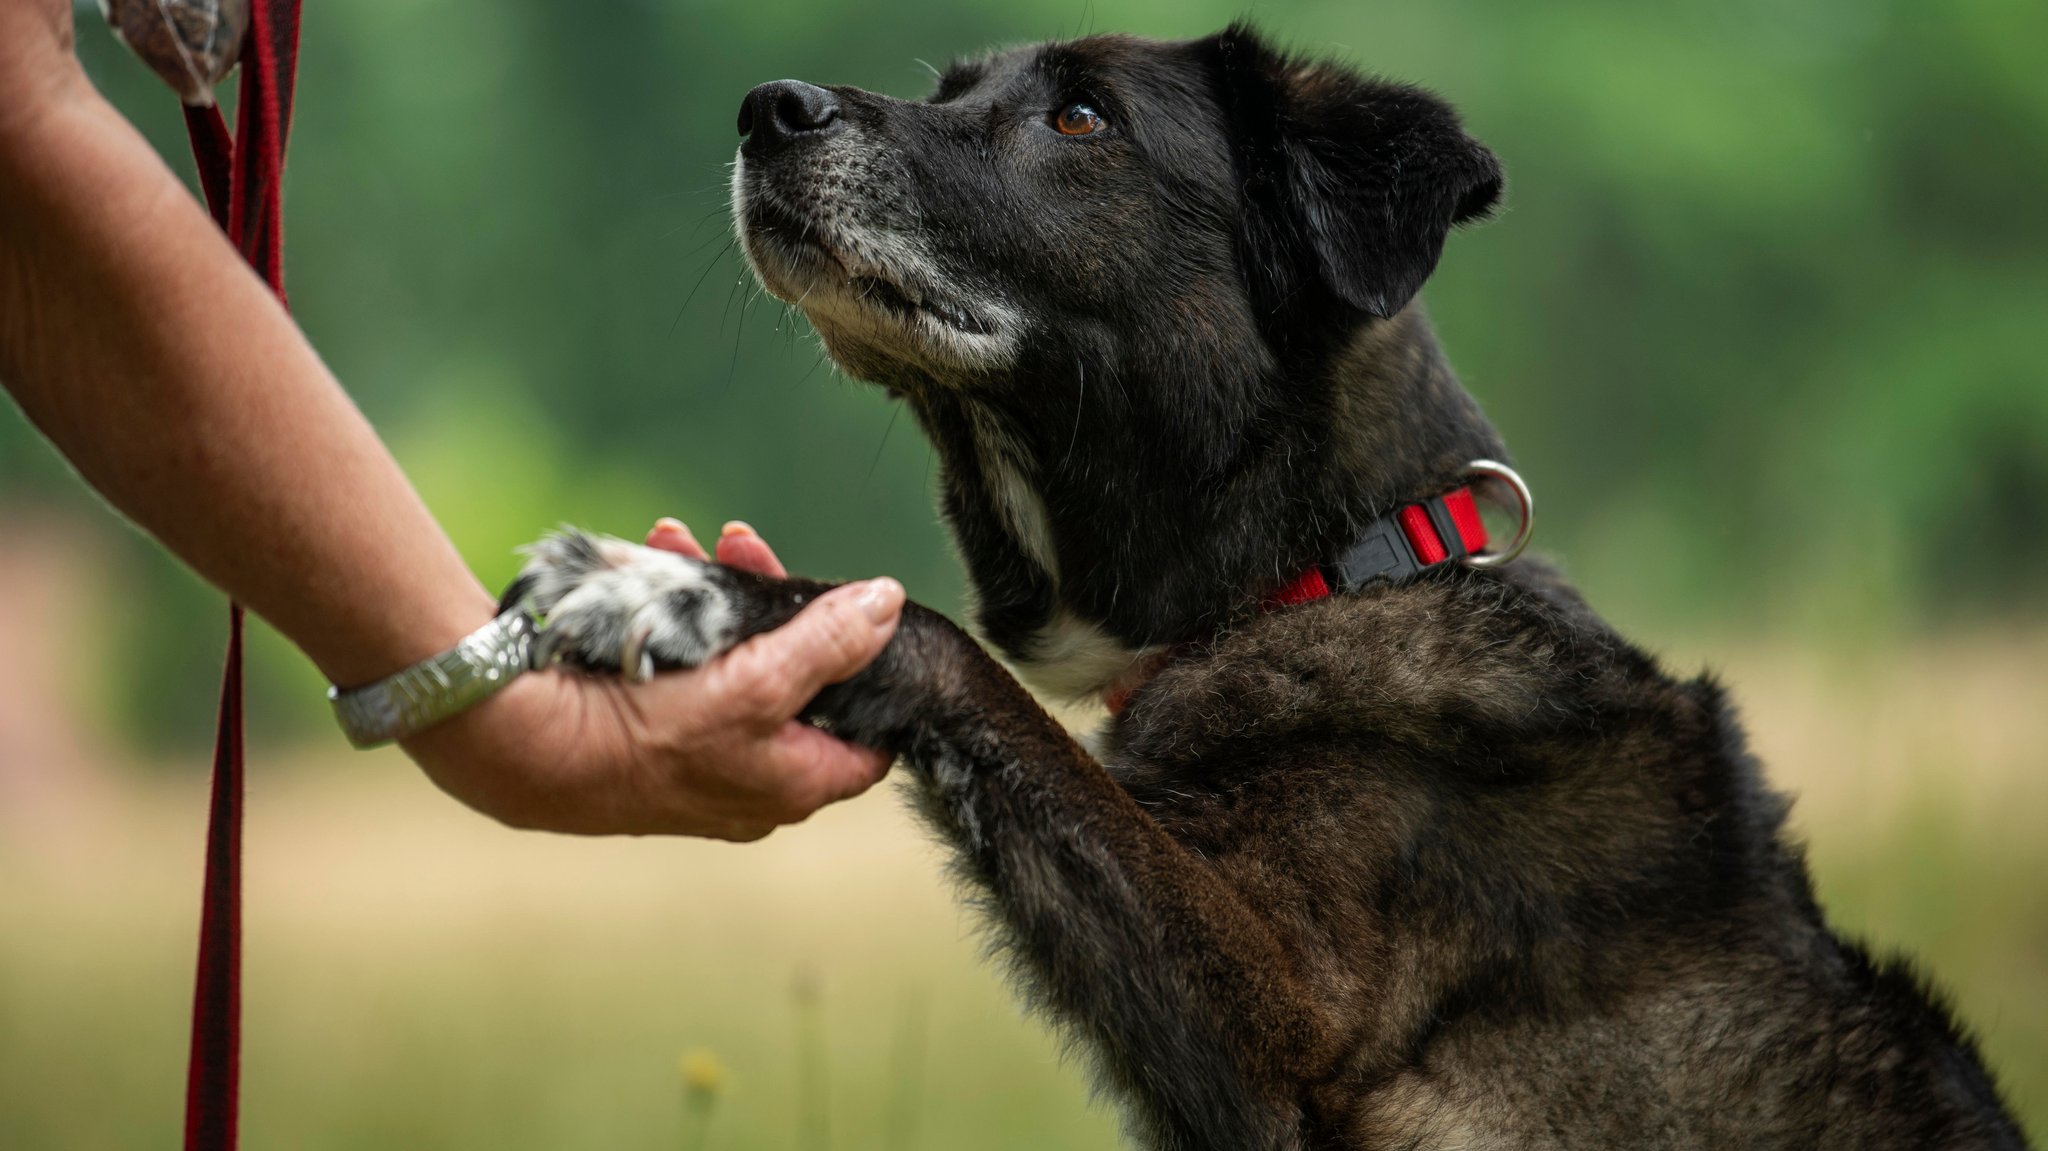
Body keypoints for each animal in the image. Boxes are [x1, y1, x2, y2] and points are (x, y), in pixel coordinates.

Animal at [499, 26, 2031, 1146]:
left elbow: (956, 661)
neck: (1323, 580)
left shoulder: (1287, 1012)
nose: (768, 109)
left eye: (1081, 118)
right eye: (950, 90)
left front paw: (679, 590)